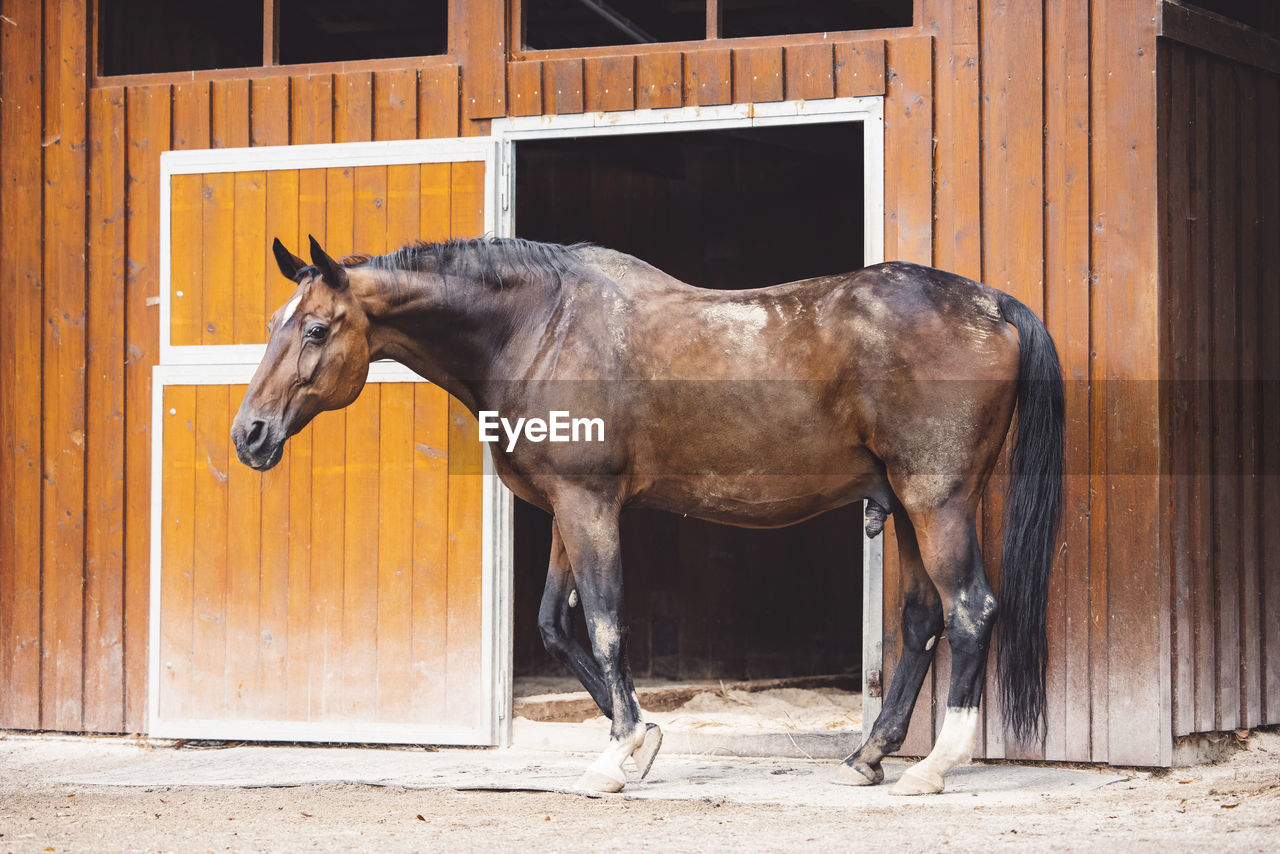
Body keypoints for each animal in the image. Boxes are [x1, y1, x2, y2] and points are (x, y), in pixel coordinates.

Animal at [232, 234, 1070, 793]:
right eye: (273, 325)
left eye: (316, 328)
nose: (250, 435)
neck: (542, 329)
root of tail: (992, 304)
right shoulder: (568, 508)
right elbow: (554, 624)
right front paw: (642, 739)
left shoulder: (591, 505)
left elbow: (606, 625)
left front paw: (622, 752)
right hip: (903, 502)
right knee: (926, 618)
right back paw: (868, 758)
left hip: (936, 499)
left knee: (969, 610)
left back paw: (933, 766)